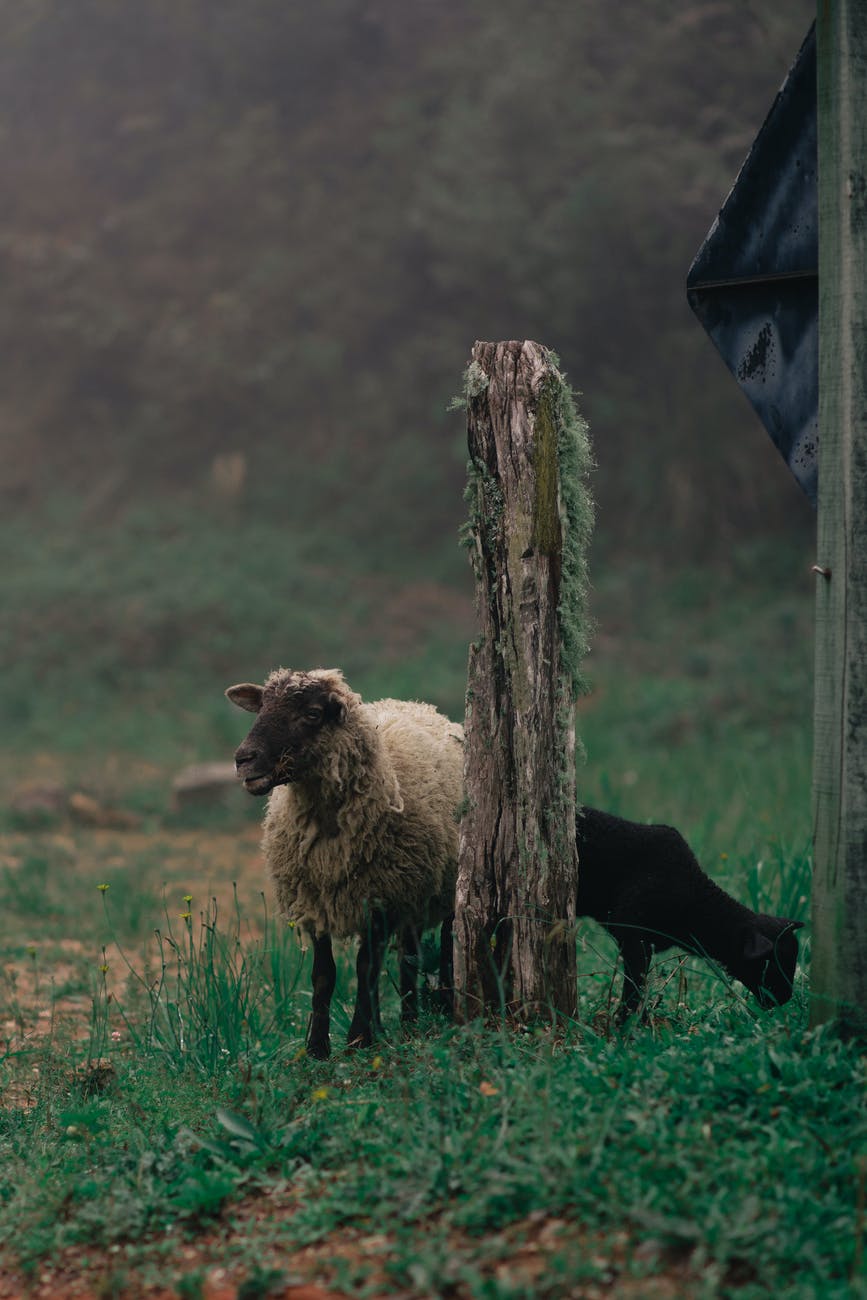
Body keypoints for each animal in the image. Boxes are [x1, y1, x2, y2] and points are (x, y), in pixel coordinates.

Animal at [226, 668, 463, 1059]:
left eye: (312, 713)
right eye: (261, 707)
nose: (243, 759)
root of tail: (418, 705)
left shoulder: (381, 897)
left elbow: (365, 968)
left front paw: (358, 1040)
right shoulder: (316, 900)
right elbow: (325, 975)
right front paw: (317, 1048)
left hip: (438, 889)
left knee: (437, 948)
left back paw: (421, 1017)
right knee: (406, 956)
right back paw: (395, 1025)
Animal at [576, 807, 803, 1023]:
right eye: (769, 963)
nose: (785, 998)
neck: (694, 902)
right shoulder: (632, 933)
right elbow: (635, 983)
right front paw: (630, 1022)